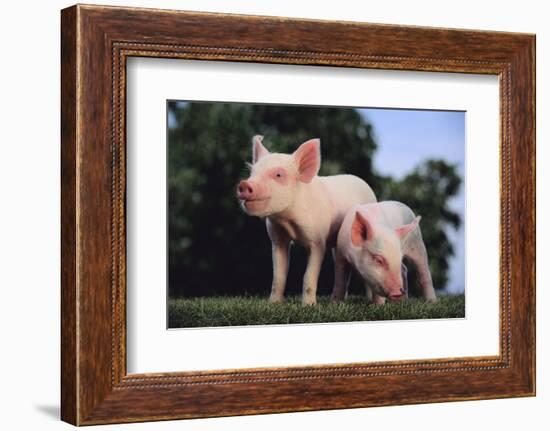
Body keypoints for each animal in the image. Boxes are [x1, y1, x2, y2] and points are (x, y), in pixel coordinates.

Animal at [235, 137, 378, 306]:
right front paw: (274, 303)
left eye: (278, 174)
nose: (244, 184)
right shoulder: (277, 240)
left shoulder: (318, 241)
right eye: (252, 173)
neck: (287, 220)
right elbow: (278, 275)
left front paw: (309, 305)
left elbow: (309, 275)